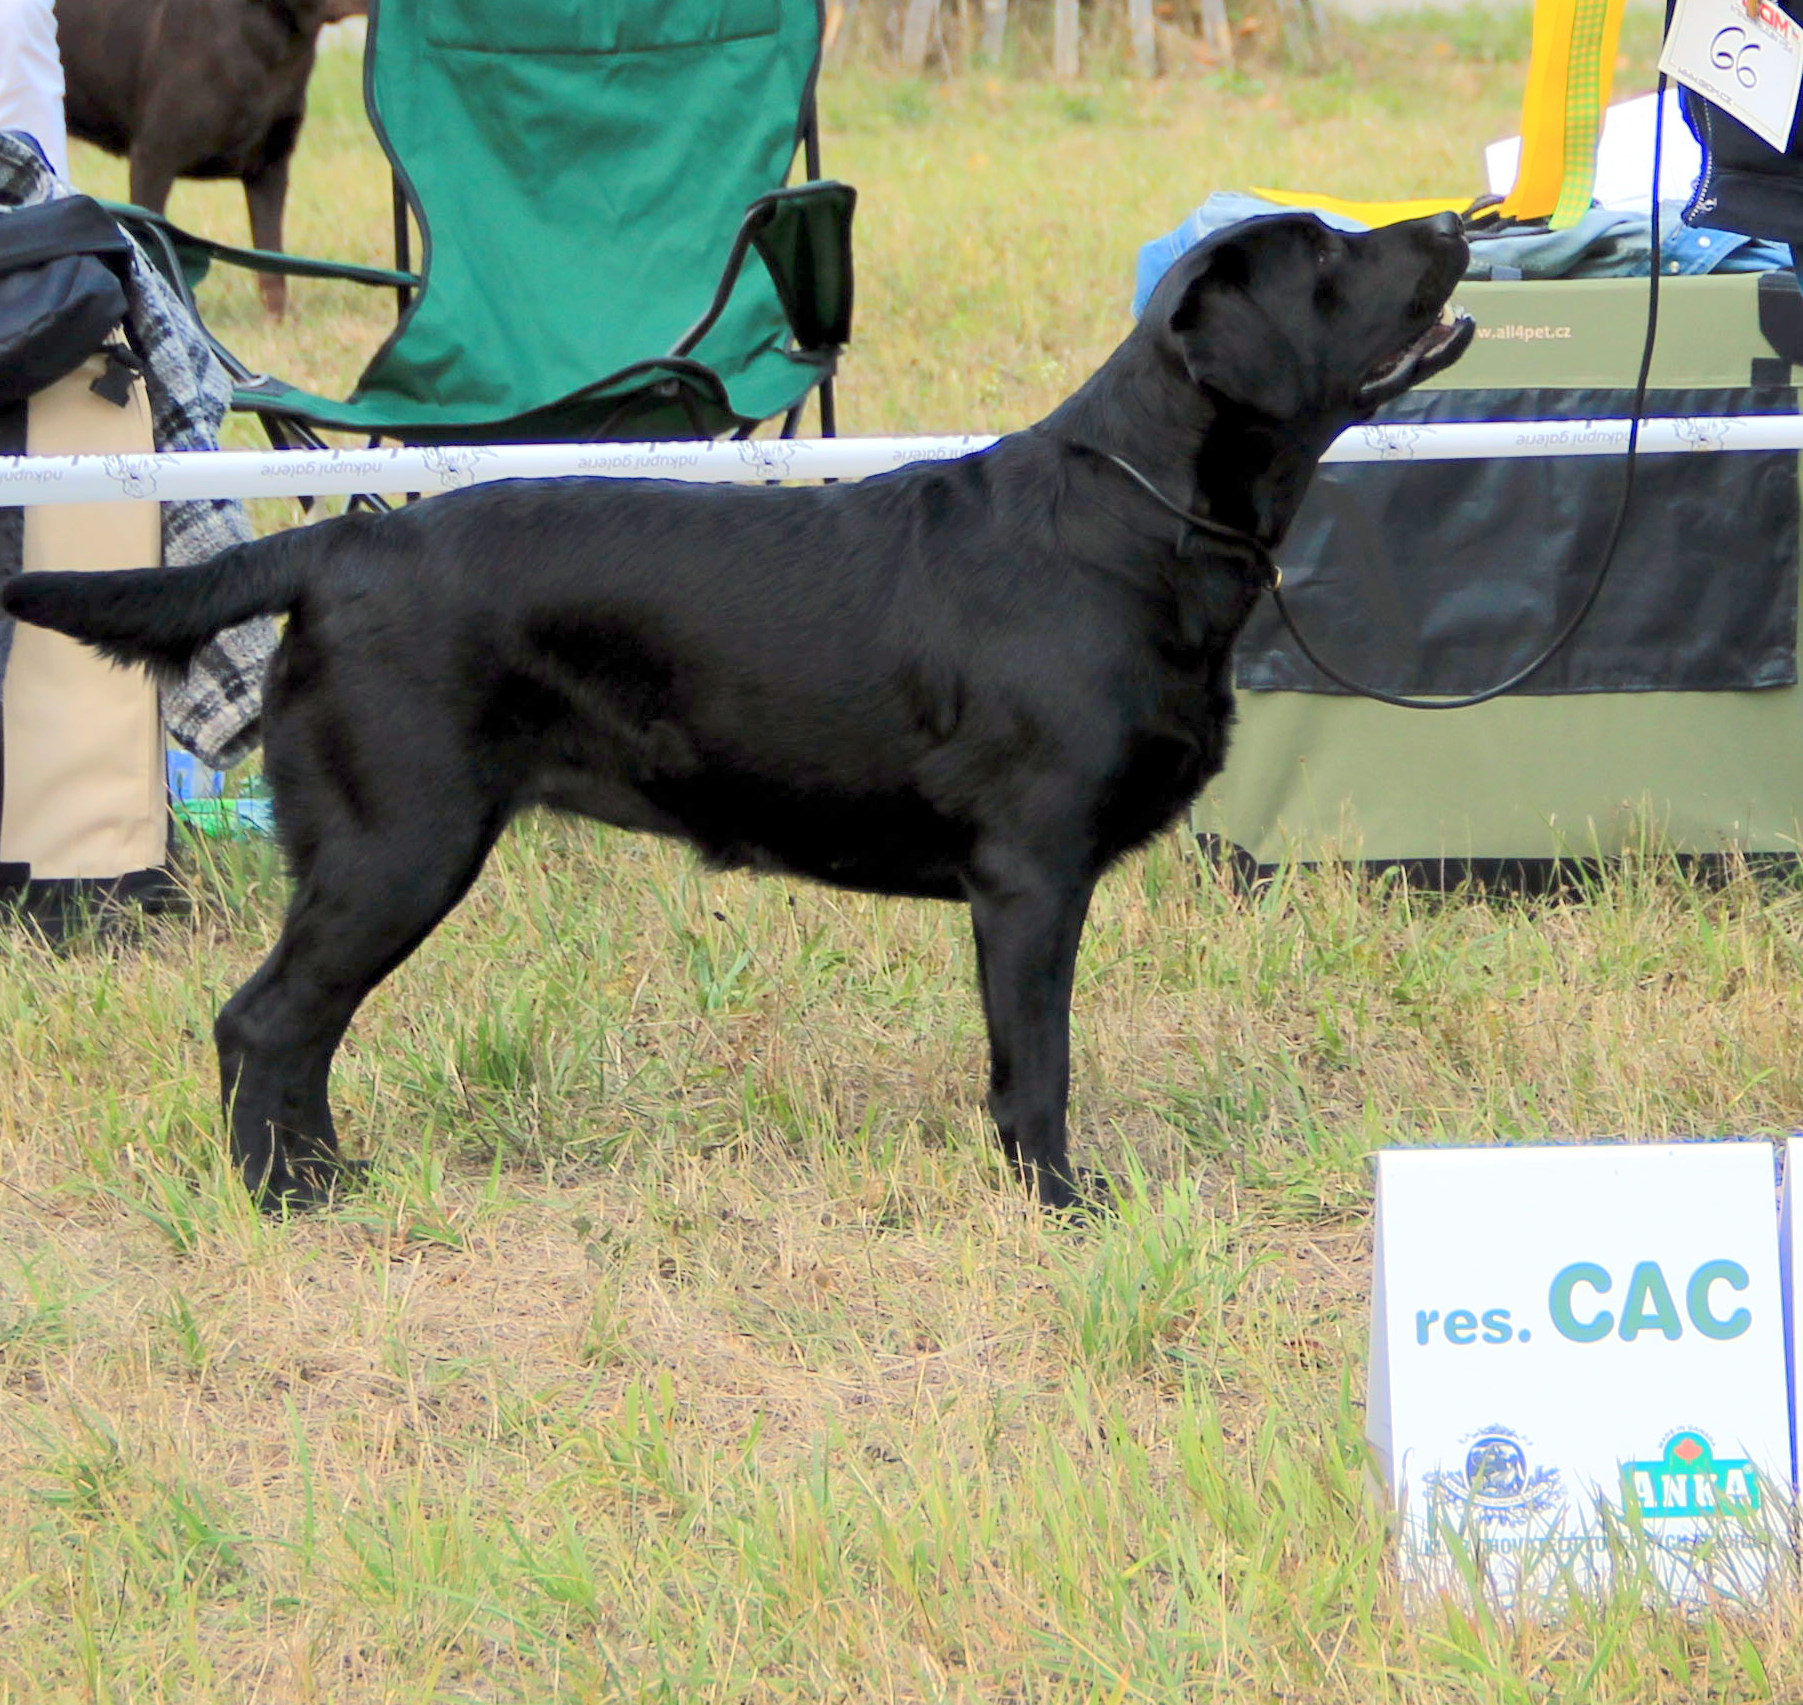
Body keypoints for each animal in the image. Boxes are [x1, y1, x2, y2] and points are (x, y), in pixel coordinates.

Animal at [3, 212, 1464, 1211]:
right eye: (1324, 255)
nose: (1454, 225)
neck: (1133, 517)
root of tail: (343, 542)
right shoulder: (1030, 872)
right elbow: (1036, 1069)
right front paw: (1063, 1206)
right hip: (397, 843)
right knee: (262, 1021)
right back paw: (285, 1200)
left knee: (299, 1033)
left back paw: (330, 1177)